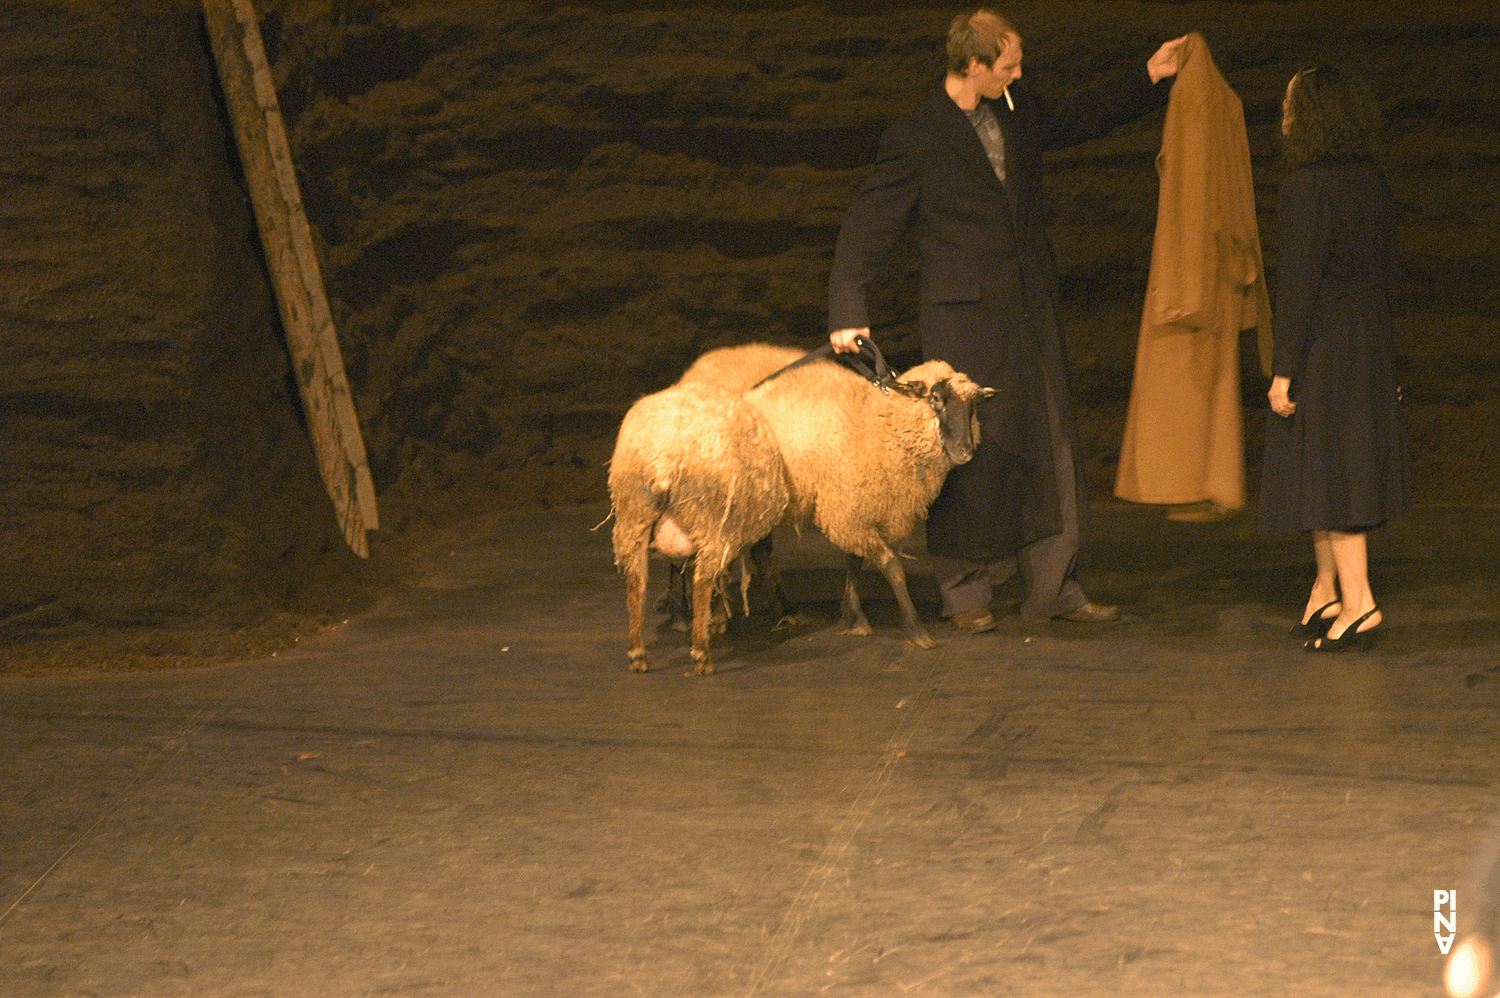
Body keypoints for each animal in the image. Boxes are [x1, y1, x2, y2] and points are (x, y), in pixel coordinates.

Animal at [603, 378, 792, 672]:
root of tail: (662, 461)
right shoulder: (741, 530)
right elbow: (759, 562)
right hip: (708, 521)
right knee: (703, 581)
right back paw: (702, 653)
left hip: (634, 517)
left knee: (636, 584)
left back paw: (637, 654)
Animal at [687, 342, 996, 651]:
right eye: (935, 398)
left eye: (974, 406)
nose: (965, 450)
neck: (880, 423)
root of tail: (698, 367)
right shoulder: (848, 512)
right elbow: (892, 566)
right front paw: (915, 628)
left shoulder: (859, 507)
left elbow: (854, 562)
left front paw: (853, 615)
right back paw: (698, 619)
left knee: (754, 553)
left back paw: (782, 611)